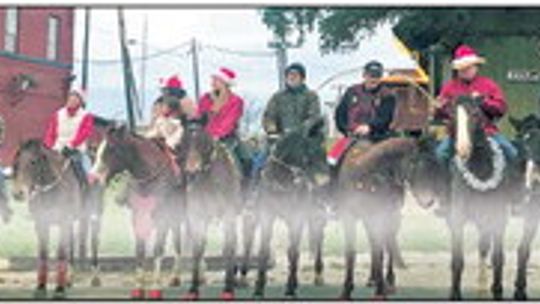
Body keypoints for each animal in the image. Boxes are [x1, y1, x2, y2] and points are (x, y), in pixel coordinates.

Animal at [10, 140, 82, 300]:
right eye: (16, 162)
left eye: (33, 162)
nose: (18, 193)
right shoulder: (41, 223)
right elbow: (43, 253)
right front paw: (40, 287)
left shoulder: (64, 222)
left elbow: (61, 253)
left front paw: (59, 289)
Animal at [90, 124, 186, 300]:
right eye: (97, 149)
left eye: (111, 148)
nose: (92, 179)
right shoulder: (138, 216)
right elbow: (140, 250)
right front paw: (138, 288)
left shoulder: (162, 217)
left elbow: (158, 249)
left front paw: (155, 288)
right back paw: (175, 277)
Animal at [176, 119, 244, 300]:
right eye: (183, 142)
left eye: (203, 142)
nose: (192, 171)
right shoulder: (197, 216)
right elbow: (198, 248)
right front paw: (193, 288)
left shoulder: (228, 214)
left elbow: (228, 247)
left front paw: (228, 288)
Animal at [252, 117, 330, 298]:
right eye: (310, 150)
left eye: (324, 151)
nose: (324, 183)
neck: (282, 180)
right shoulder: (266, 215)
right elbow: (264, 250)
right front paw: (259, 287)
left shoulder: (296, 218)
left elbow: (292, 251)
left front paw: (290, 288)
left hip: (315, 217)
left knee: (318, 240)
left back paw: (318, 275)